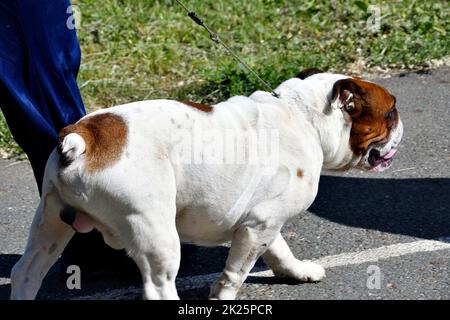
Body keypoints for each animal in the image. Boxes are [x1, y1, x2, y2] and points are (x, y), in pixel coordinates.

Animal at [10, 69, 404, 300]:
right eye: (390, 112)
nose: (400, 124)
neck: (304, 116)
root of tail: (83, 137)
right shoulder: (257, 227)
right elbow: (235, 273)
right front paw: (223, 296)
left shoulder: (263, 221)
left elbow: (279, 248)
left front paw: (296, 271)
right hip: (154, 231)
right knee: (158, 285)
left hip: (50, 222)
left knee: (26, 272)